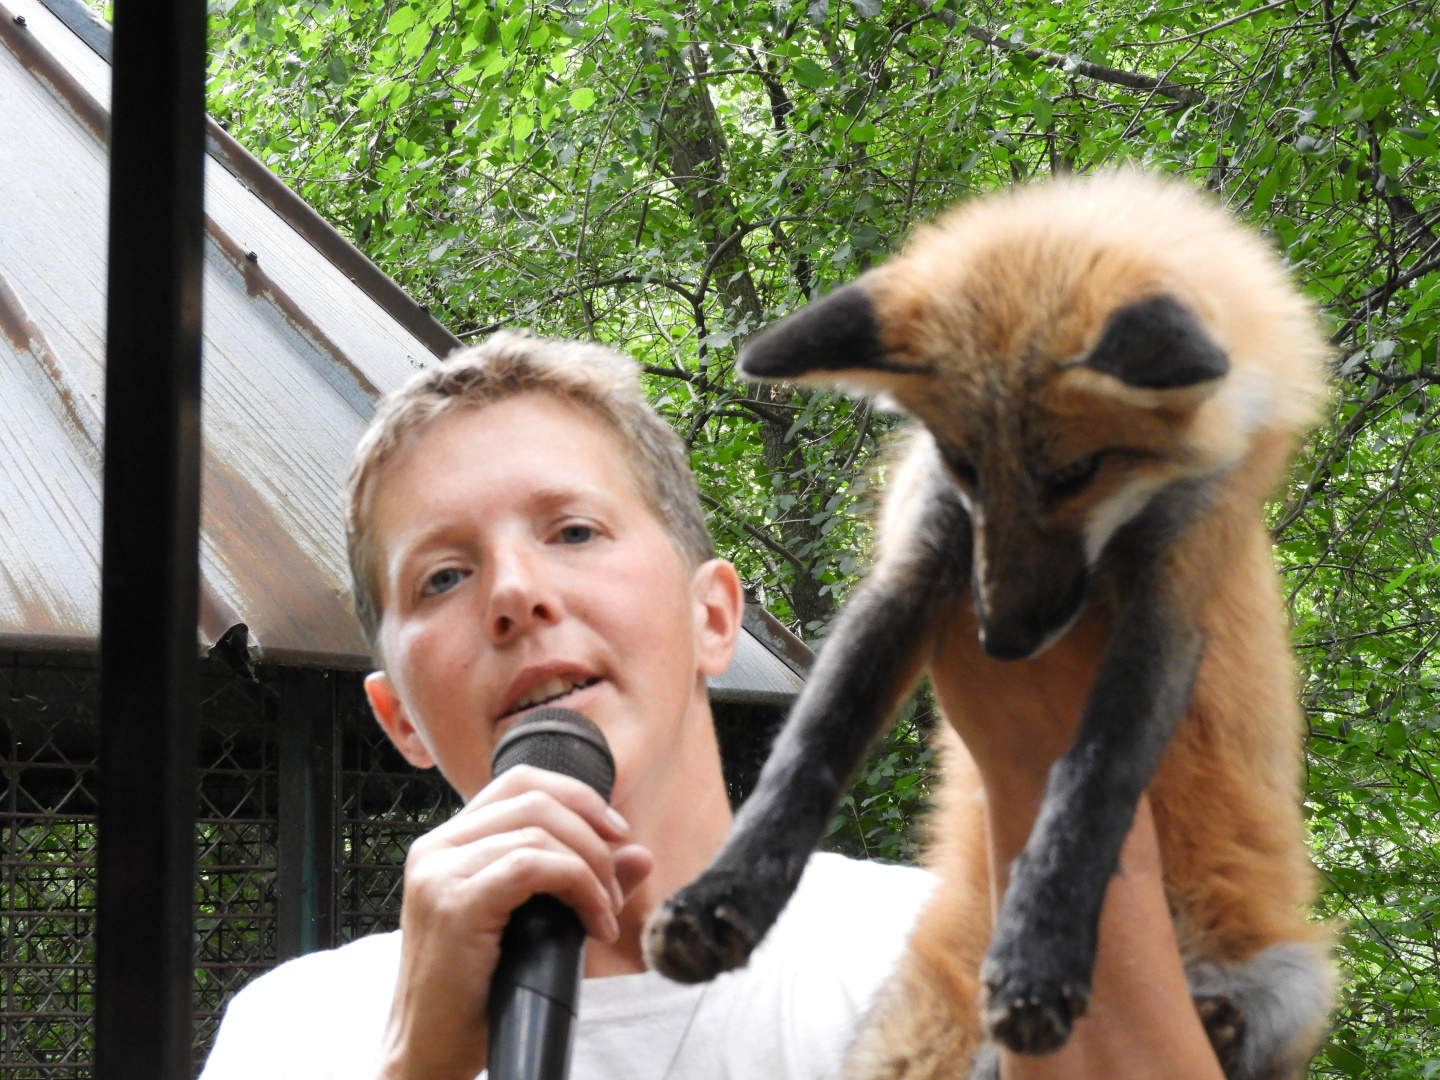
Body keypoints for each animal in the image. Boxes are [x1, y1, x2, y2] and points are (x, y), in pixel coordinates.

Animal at [643, 171, 1337, 1080]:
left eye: (1078, 473)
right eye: (966, 464)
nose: (1002, 641)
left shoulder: (1175, 594)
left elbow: (1091, 781)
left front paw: (1041, 954)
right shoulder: (917, 562)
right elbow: (805, 756)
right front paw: (723, 896)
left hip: (1298, 990)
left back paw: (1212, 1027)